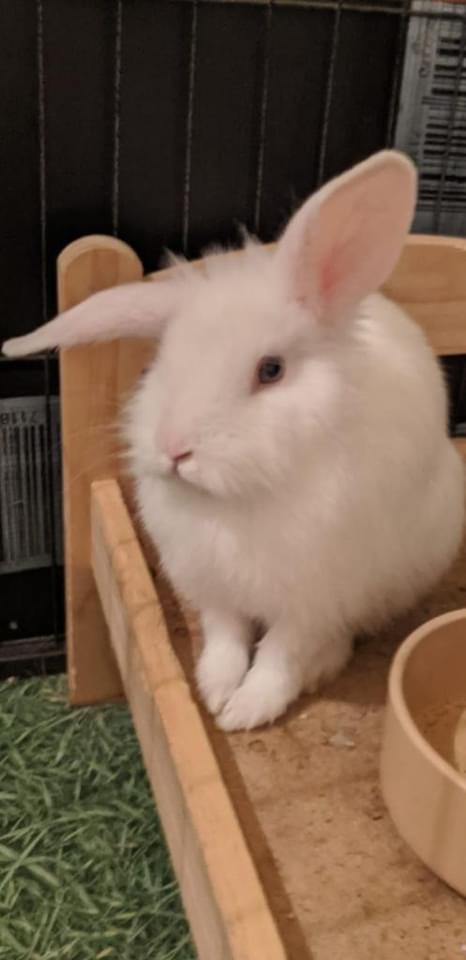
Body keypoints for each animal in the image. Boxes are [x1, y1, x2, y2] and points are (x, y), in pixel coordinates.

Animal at [4, 150, 464, 731]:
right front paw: (214, 688)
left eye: (271, 370)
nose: (175, 450)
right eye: (163, 358)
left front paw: (244, 711)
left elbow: (282, 655)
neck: (240, 499)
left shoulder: (314, 596)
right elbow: (226, 637)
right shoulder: (211, 583)